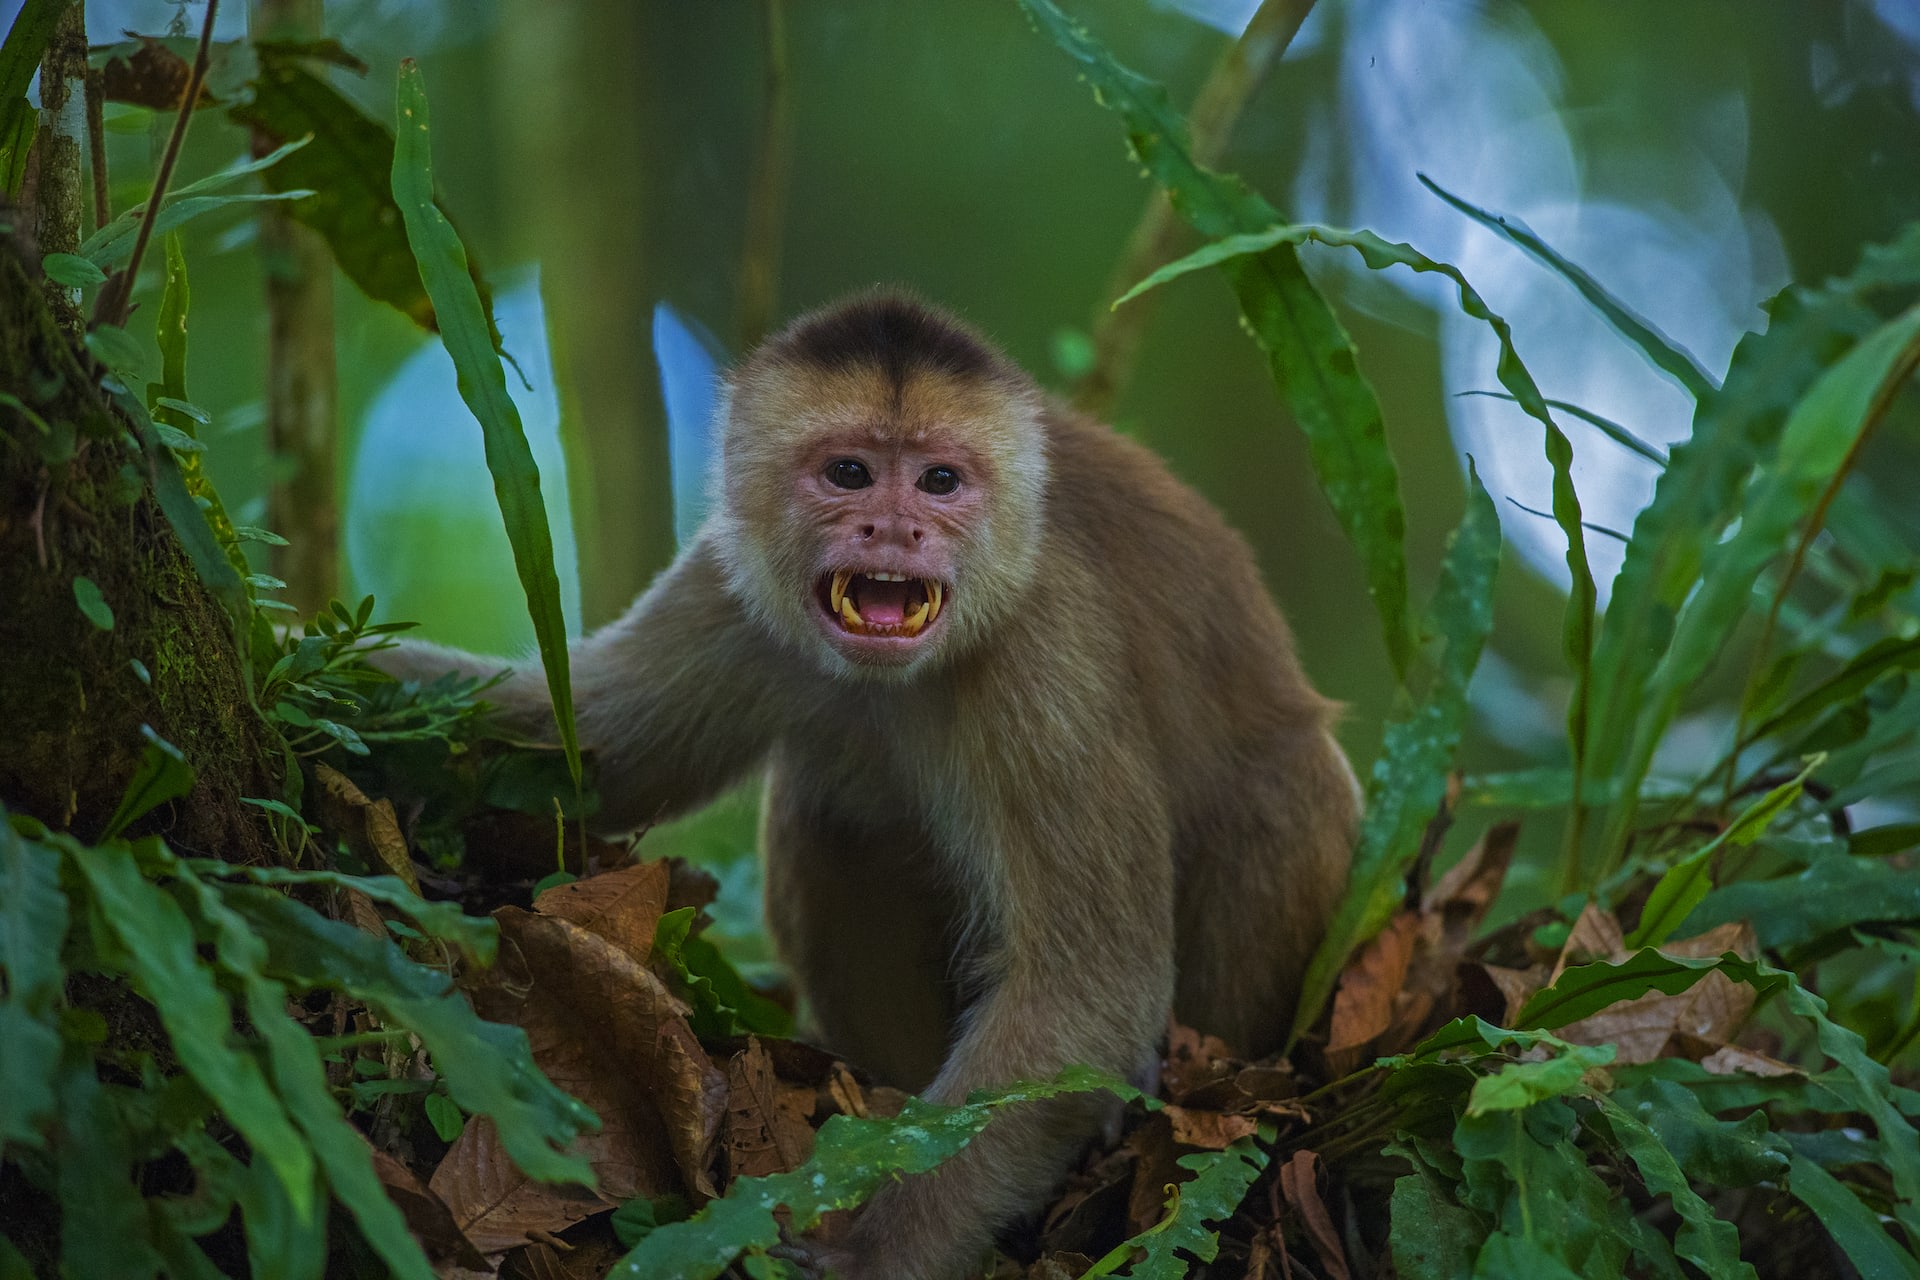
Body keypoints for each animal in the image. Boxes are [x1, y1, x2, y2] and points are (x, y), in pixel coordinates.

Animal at [378, 292, 1358, 1279]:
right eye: (849, 473)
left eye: (938, 482)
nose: (892, 531)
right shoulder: (731, 583)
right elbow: (587, 754)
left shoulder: (1045, 645)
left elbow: (1087, 992)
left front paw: (877, 1250)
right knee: (838, 816)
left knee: (1271, 798)